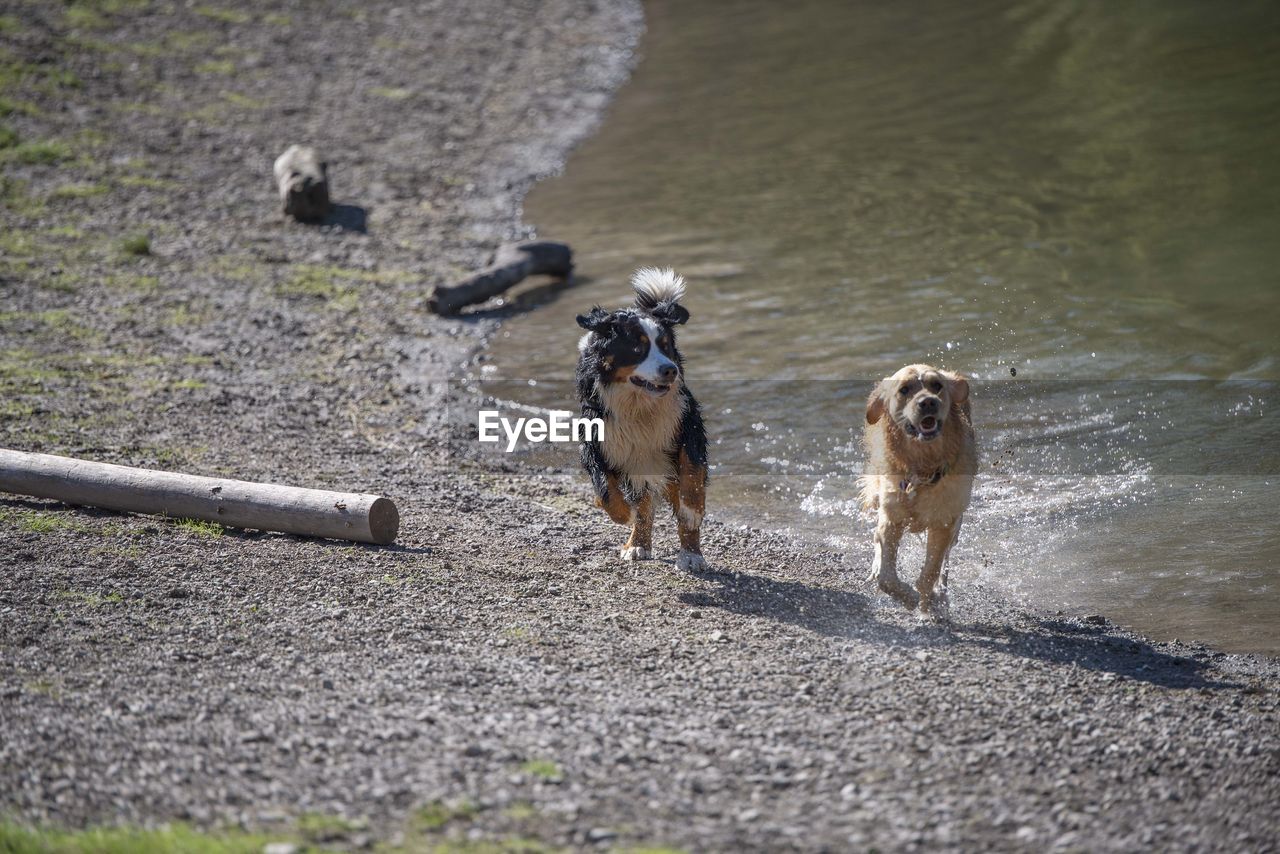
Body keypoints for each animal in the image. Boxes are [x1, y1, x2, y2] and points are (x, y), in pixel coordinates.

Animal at [573, 267, 711, 571]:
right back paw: (637, 544)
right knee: (644, 505)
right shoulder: (597, 440)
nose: (670, 370)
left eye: (666, 346)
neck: (639, 403)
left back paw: (691, 554)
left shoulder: (687, 424)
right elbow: (606, 490)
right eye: (638, 349)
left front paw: (693, 510)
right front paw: (623, 514)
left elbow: (692, 475)